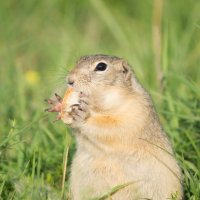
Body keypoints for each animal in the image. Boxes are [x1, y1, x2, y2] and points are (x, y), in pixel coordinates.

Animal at [46, 54, 182, 199]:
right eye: (79, 60)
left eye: (101, 66)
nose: (70, 80)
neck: (98, 108)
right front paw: (58, 104)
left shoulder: (134, 114)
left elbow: (110, 127)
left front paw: (82, 116)